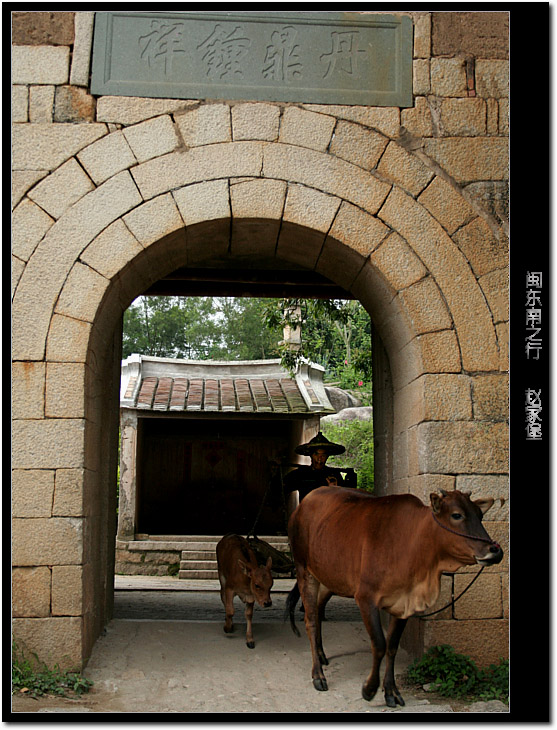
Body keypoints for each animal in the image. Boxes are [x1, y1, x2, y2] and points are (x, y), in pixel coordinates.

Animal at [286, 486, 504, 704]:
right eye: (456, 515)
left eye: (480, 515)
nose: (495, 551)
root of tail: (304, 503)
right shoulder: (366, 598)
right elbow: (379, 644)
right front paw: (369, 689)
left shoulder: (403, 604)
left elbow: (392, 646)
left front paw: (391, 691)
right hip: (304, 570)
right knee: (310, 620)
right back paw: (318, 674)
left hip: (328, 578)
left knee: (318, 611)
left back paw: (322, 655)